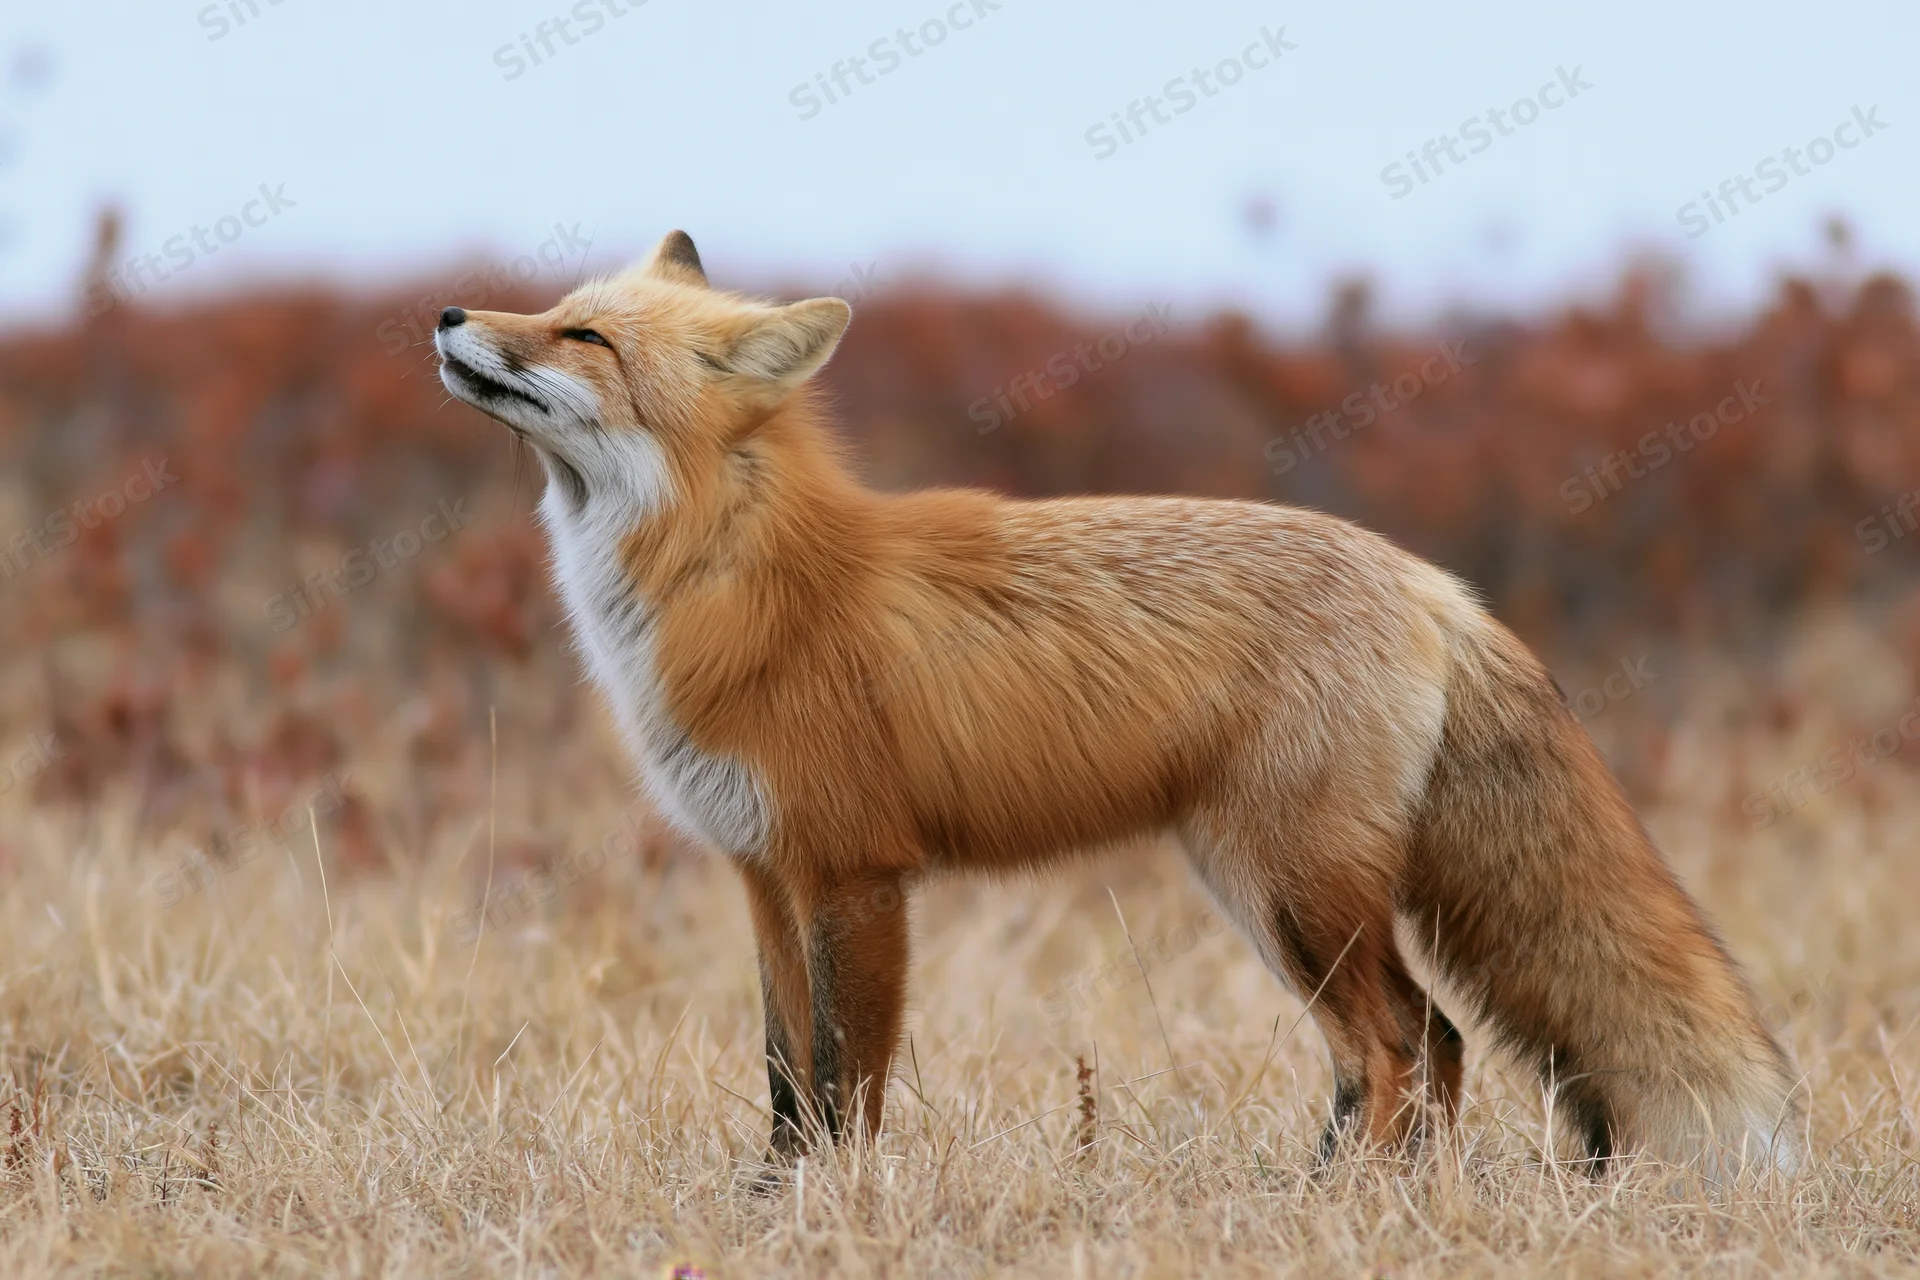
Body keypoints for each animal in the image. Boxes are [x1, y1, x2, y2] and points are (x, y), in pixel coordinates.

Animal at [433, 230, 1800, 1175]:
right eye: (551, 313)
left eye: (584, 337)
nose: (447, 311)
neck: (739, 581)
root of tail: (1431, 580)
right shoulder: (768, 873)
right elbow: (785, 1077)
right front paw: (770, 1203)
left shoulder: (857, 874)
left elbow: (845, 1078)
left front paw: (840, 1206)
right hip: (1264, 886)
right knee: (1423, 1043)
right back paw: (1353, 1198)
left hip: (1288, 886)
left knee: (1405, 1040)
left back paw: (1347, 1205)